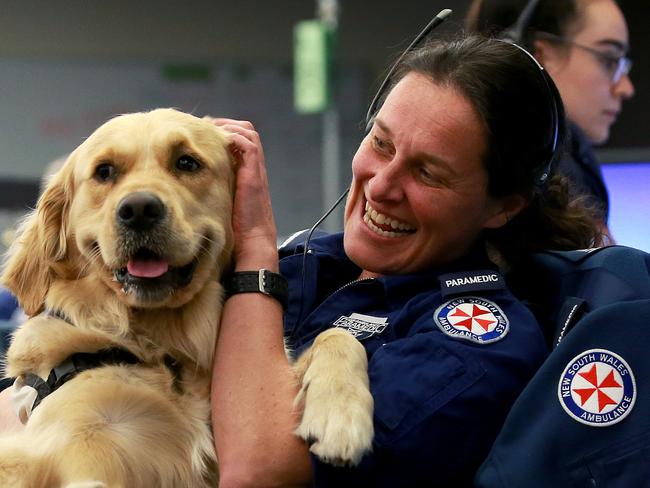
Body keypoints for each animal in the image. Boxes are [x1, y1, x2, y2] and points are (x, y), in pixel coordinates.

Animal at [0, 108, 372, 486]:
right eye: (104, 171)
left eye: (186, 163)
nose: (139, 209)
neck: (169, 351)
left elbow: (336, 335)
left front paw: (341, 418)